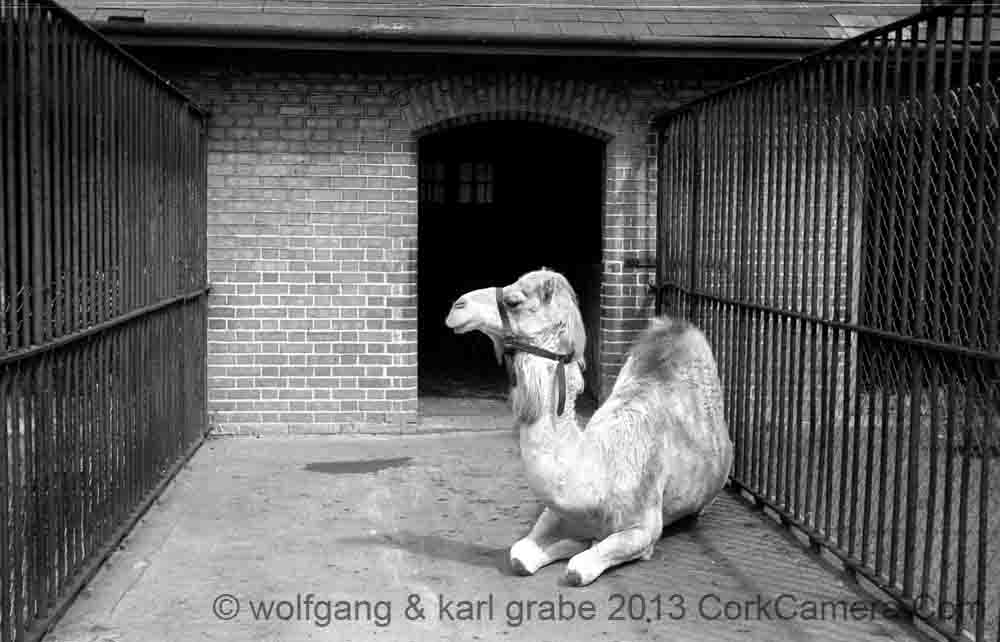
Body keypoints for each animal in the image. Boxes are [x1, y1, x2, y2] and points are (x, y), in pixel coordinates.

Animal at [444, 268, 733, 586]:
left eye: (513, 300)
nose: (457, 307)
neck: (599, 471)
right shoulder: (556, 510)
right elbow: (520, 555)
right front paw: (568, 543)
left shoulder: (644, 529)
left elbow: (578, 569)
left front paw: (580, 547)